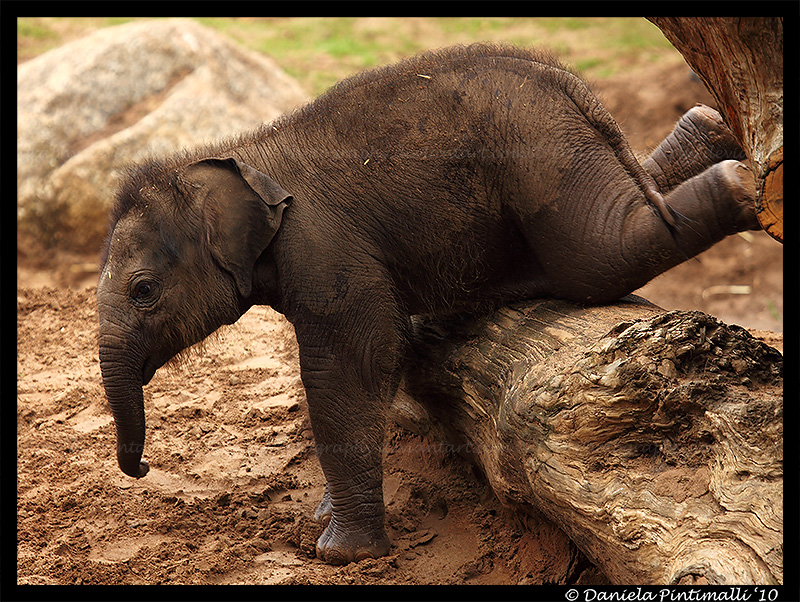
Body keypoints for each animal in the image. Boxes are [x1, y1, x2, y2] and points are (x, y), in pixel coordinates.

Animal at [97, 44, 759, 565]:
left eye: (143, 291)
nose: (142, 469)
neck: (242, 156)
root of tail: (564, 81)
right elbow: (383, 357)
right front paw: (325, 519)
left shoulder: (325, 248)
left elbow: (352, 364)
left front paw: (340, 552)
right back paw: (707, 130)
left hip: (543, 154)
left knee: (600, 253)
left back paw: (740, 183)